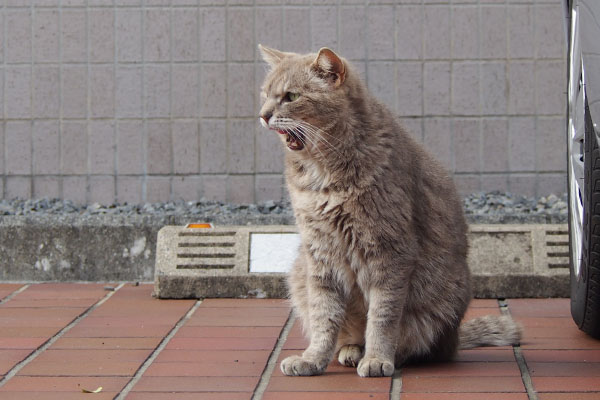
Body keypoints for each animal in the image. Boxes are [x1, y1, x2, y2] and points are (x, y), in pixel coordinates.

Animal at [256, 45, 520, 376]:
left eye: (291, 96)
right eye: (265, 94)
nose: (263, 115)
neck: (322, 173)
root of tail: (457, 340)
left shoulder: (389, 253)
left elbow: (382, 317)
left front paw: (378, 358)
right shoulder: (320, 255)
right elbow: (323, 316)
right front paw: (313, 358)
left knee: (419, 345)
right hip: (298, 272)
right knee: (348, 333)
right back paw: (351, 350)